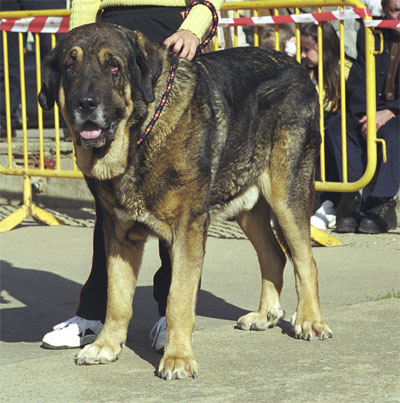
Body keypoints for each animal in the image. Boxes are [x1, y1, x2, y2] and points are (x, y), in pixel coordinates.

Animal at [39, 22, 332, 382]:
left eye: (114, 67)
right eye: (70, 66)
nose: (85, 103)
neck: (140, 138)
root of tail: (297, 67)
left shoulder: (186, 232)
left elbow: (177, 298)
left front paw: (177, 358)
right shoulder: (118, 236)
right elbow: (117, 297)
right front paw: (106, 345)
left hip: (286, 195)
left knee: (305, 259)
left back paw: (310, 320)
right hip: (247, 205)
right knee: (274, 255)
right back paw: (264, 315)